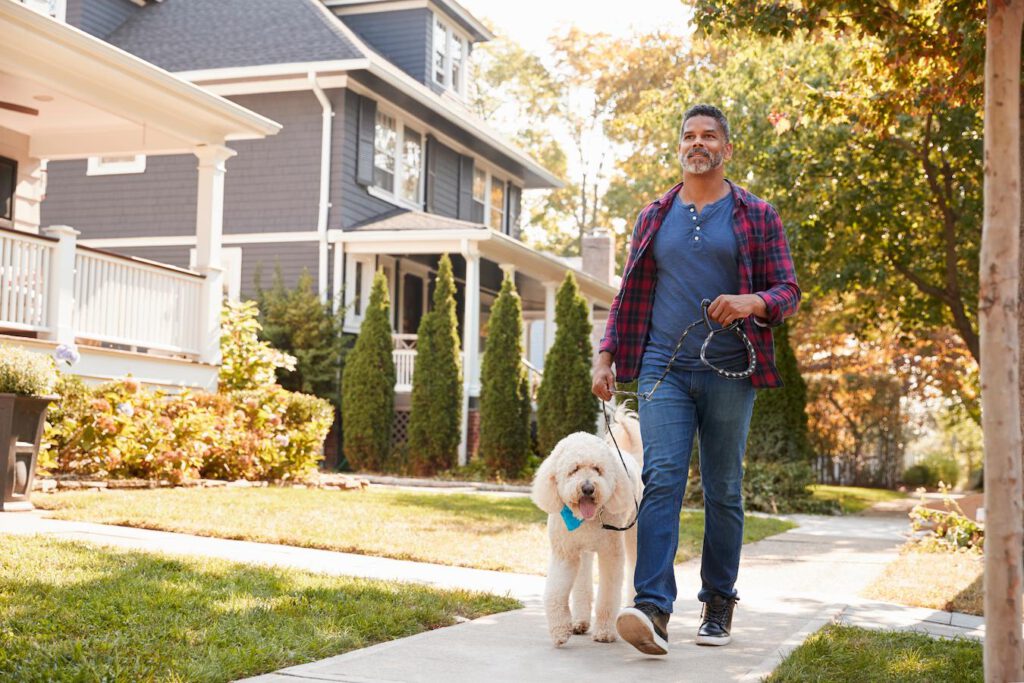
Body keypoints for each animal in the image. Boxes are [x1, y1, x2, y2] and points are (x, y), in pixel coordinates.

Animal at [532, 409, 643, 651]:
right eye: (573, 469)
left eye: (597, 469)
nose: (588, 488)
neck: (586, 520)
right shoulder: (565, 554)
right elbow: (555, 593)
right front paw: (559, 630)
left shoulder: (611, 555)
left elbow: (608, 596)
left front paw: (605, 632)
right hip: (582, 553)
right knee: (582, 583)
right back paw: (580, 621)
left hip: (634, 535)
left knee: (634, 569)